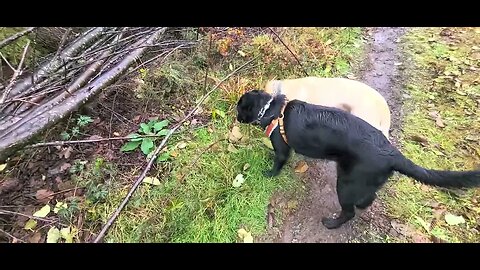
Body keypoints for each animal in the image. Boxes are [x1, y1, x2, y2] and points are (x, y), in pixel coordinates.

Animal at [236, 89, 480, 229]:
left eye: (239, 109)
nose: (236, 117)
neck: (271, 109)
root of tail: (392, 153)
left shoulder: (281, 146)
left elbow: (278, 161)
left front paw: (269, 173)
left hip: (345, 184)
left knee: (349, 211)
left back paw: (331, 223)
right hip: (360, 181)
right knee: (369, 197)